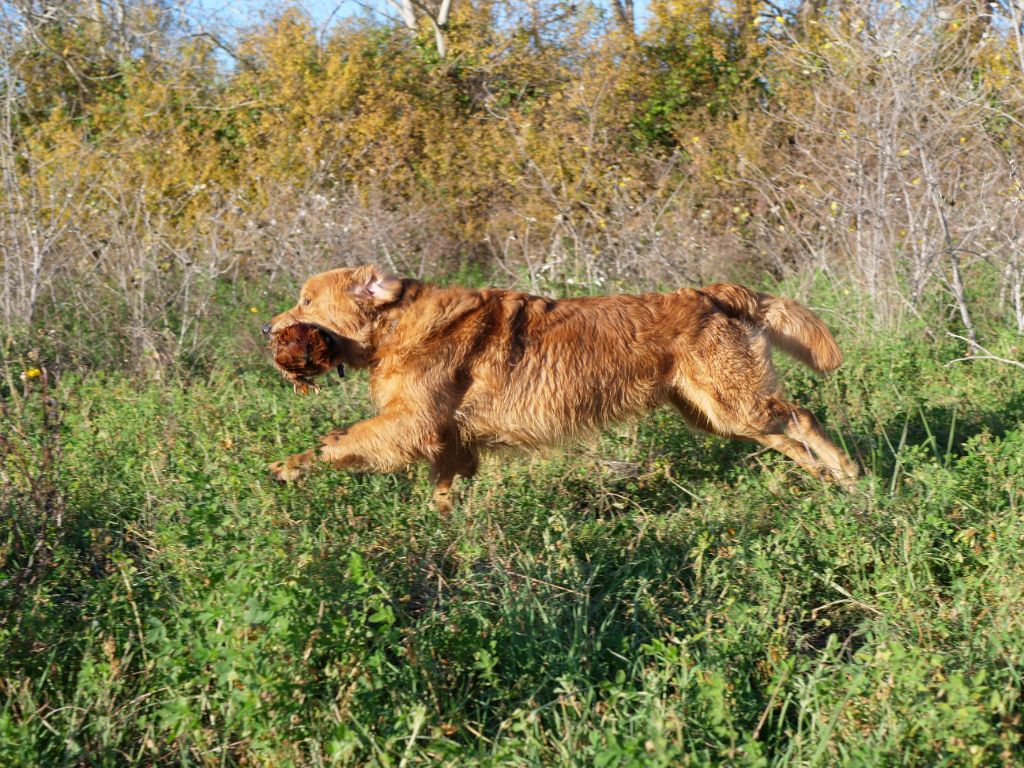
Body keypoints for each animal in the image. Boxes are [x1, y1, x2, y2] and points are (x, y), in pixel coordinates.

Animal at [264, 266, 856, 512]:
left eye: (306, 301)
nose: (269, 330)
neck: (396, 325)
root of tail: (716, 292)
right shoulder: (449, 444)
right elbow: (441, 492)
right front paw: (442, 531)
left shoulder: (410, 424)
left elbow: (342, 441)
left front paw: (290, 465)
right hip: (717, 414)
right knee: (787, 436)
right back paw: (825, 477)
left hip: (737, 404)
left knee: (803, 418)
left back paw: (850, 475)